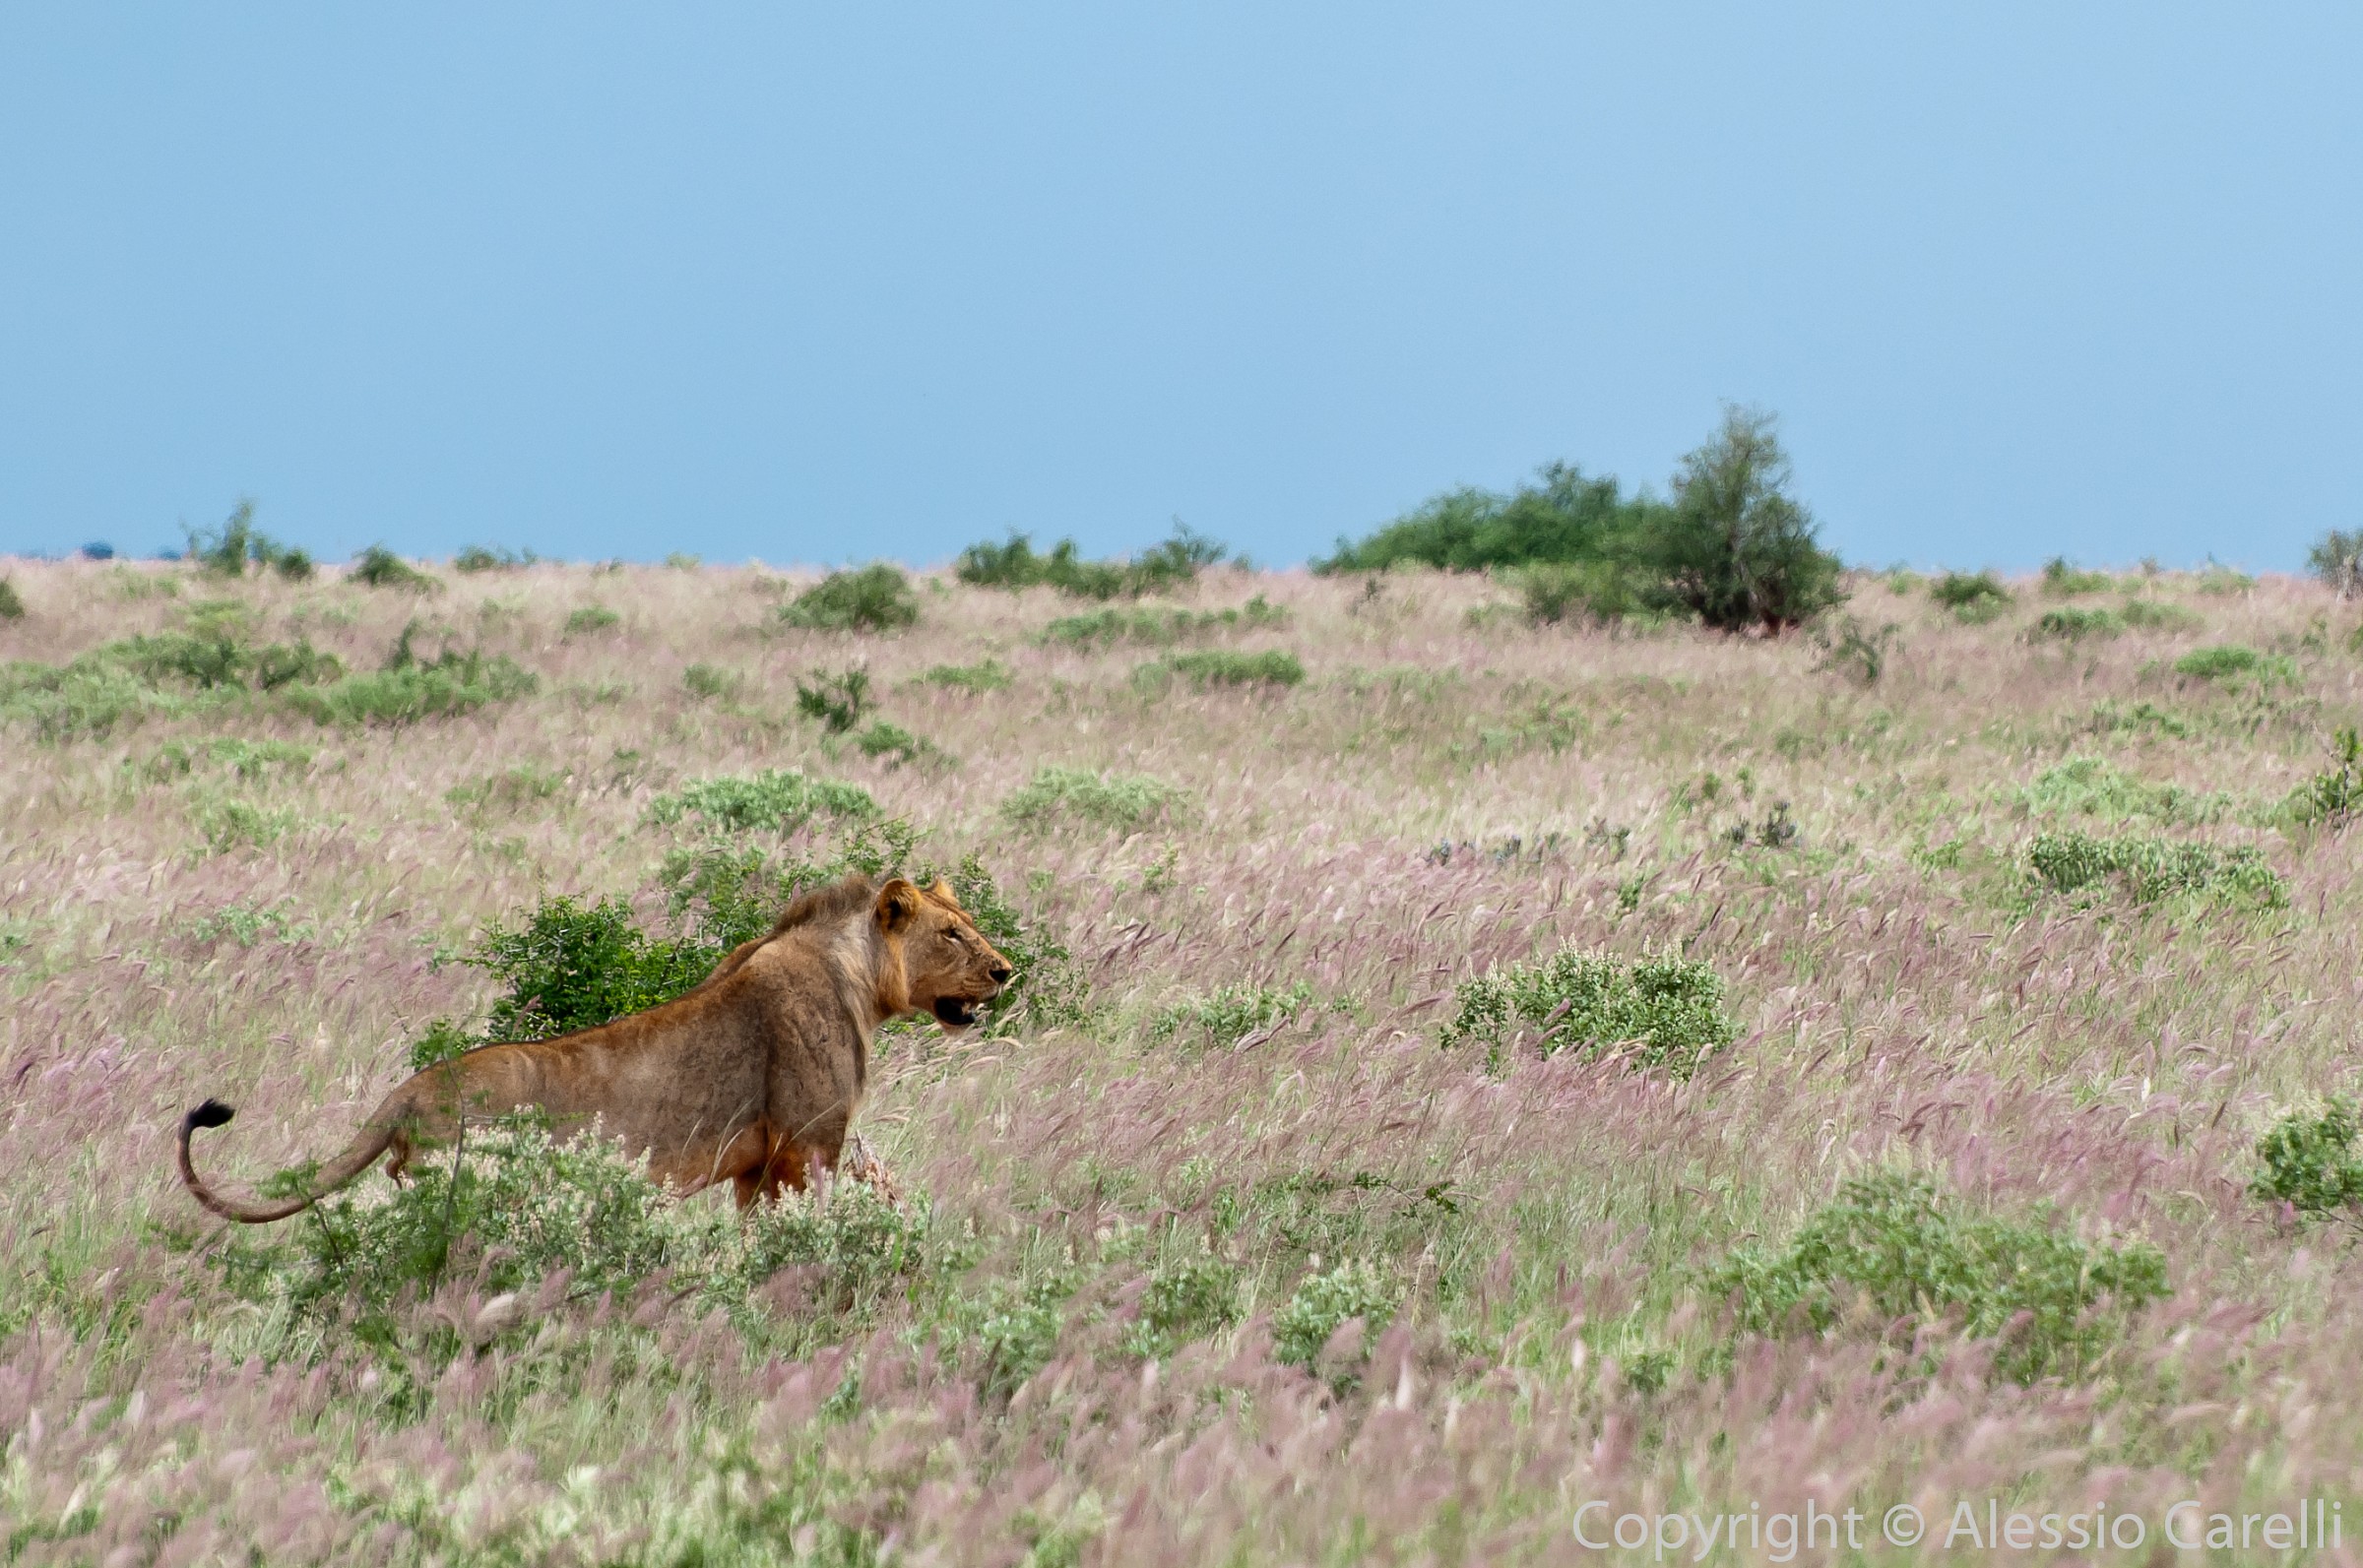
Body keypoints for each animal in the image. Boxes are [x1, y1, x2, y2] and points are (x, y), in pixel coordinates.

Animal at [177, 874, 1012, 1223]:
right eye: (951, 933)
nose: (1007, 969)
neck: (858, 975)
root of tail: (408, 1091)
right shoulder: (808, 1149)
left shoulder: (759, 1165)